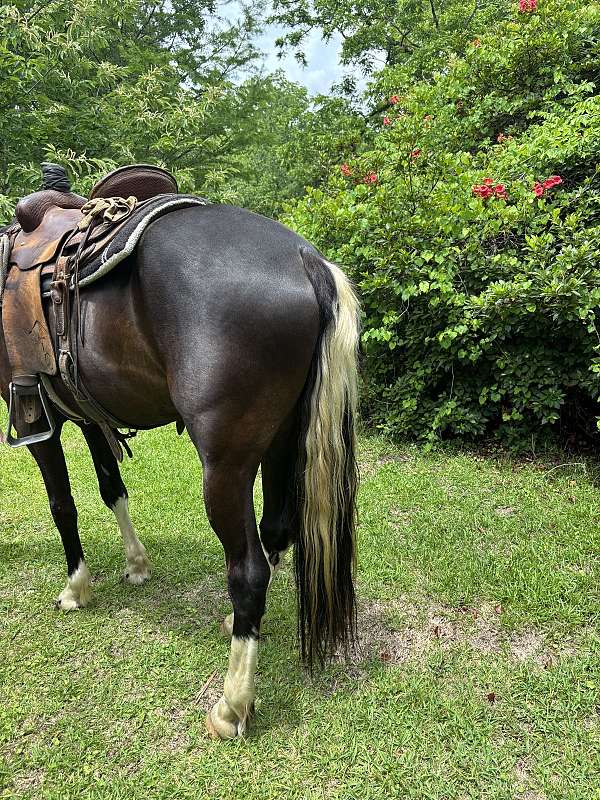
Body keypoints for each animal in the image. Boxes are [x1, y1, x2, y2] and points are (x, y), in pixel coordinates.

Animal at [0, 202, 360, 738]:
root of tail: (303, 258)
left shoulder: (34, 418)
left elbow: (62, 504)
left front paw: (76, 587)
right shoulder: (89, 414)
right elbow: (111, 488)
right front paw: (136, 564)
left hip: (225, 469)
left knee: (248, 571)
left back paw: (233, 703)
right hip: (282, 441)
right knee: (275, 532)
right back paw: (240, 629)